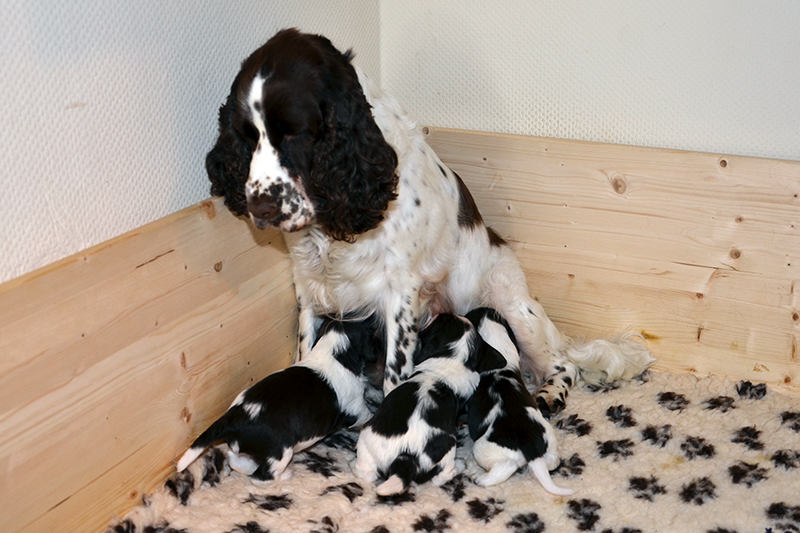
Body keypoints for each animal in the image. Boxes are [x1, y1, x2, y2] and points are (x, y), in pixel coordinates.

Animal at [177, 314, 382, 484]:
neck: (333, 352)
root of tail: (237, 415)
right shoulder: (356, 408)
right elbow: (367, 416)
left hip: (245, 447)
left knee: (236, 460)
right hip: (281, 451)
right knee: (261, 477)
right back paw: (285, 475)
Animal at [354, 312, 504, 494]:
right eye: (448, 319)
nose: (442, 312)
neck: (453, 357)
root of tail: (405, 456)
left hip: (367, 441)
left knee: (367, 473)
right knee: (441, 477)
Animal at [468, 306, 576, 496]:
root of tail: (530, 447)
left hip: (481, 449)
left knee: (505, 468)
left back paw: (480, 478)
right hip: (549, 439)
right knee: (552, 461)